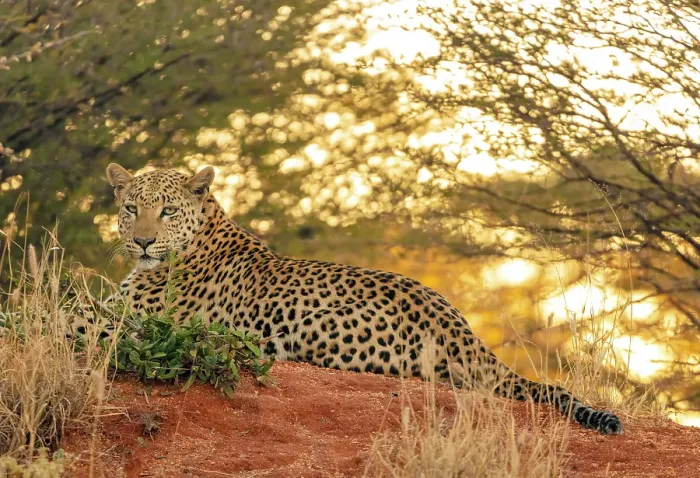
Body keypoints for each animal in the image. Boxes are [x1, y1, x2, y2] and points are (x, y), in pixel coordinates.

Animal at [91, 162, 623, 435]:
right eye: (131, 208)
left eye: (167, 211)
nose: (141, 242)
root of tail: (464, 333)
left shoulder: (132, 318)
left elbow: (79, 313)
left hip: (312, 322)